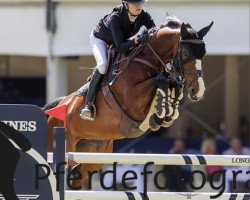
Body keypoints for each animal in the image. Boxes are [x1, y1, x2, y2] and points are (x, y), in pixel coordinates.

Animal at [43, 16, 213, 188]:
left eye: (204, 53)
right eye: (185, 52)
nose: (199, 91)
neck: (145, 61)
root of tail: (59, 105)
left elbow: (172, 85)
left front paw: (166, 115)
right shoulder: (133, 102)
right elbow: (160, 81)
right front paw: (159, 115)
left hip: (96, 154)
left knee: (78, 173)